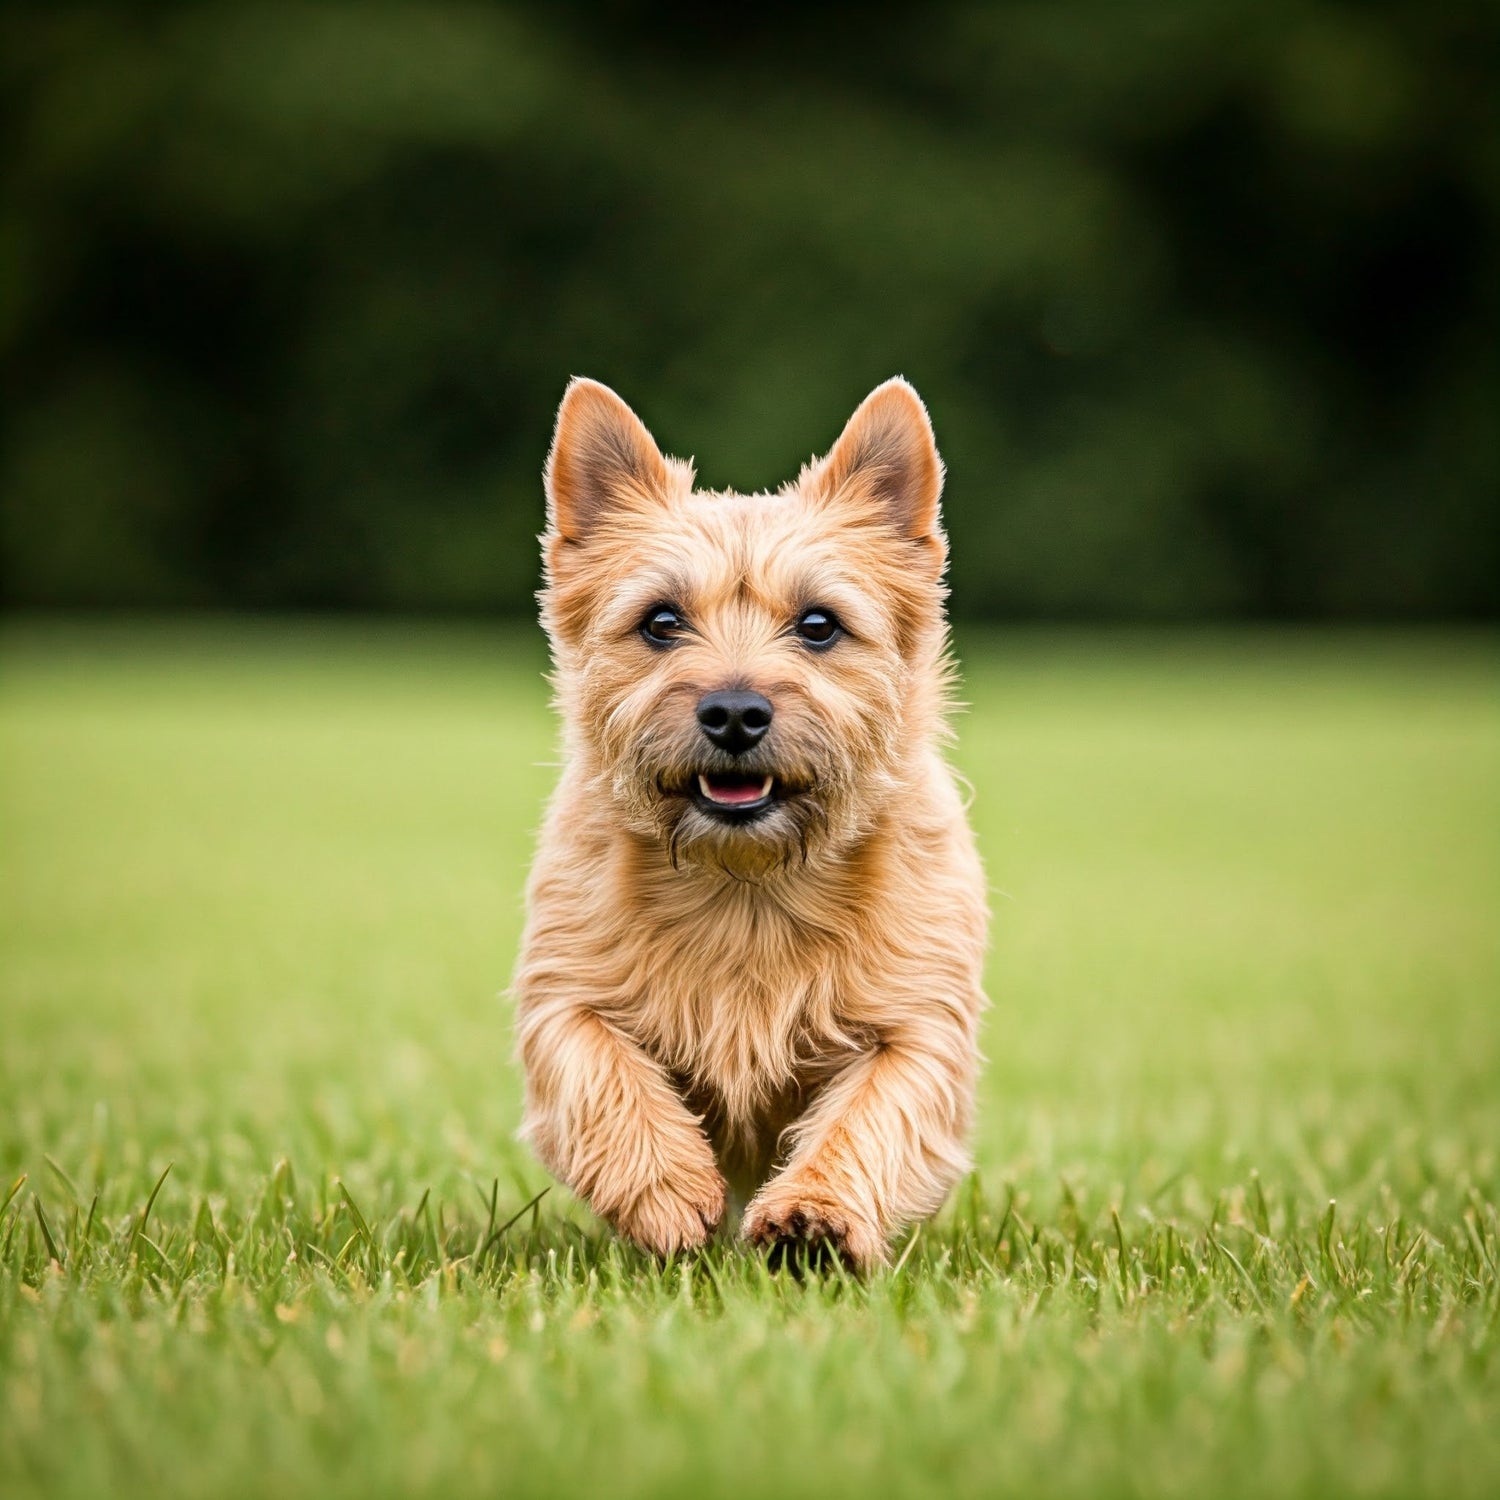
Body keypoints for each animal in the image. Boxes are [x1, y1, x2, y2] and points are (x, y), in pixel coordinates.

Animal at [510, 375, 990, 1266]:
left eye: (819, 624)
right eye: (661, 621)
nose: (734, 711)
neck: (748, 886)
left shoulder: (916, 1025)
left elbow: (873, 1117)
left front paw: (816, 1214)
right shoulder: (567, 994)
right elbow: (603, 1074)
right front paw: (667, 1192)